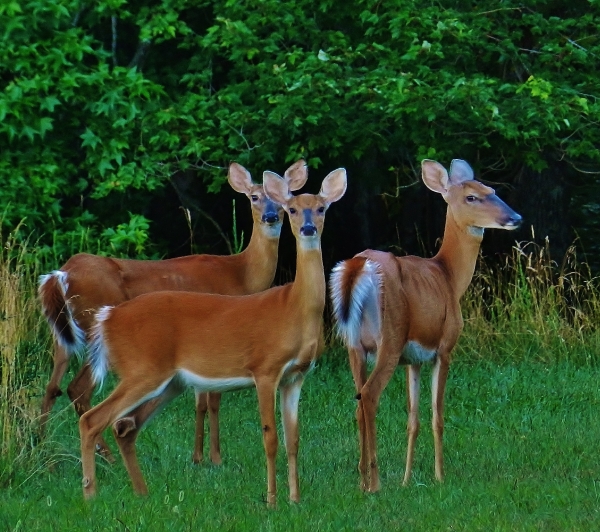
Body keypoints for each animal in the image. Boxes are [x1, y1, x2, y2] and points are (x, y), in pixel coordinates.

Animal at [38, 161, 310, 462]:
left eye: (285, 198)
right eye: (254, 197)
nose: (271, 217)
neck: (241, 274)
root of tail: (62, 273)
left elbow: (200, 400)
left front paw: (198, 456)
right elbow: (212, 400)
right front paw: (214, 457)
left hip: (63, 333)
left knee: (53, 386)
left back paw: (44, 450)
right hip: (93, 328)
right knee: (78, 388)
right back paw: (105, 456)